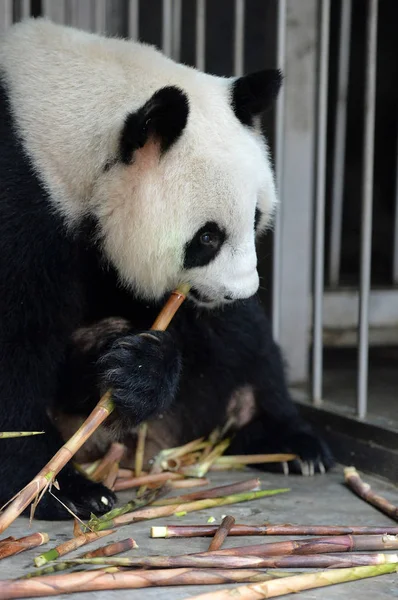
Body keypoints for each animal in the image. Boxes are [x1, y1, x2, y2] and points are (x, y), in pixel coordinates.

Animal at [0, 18, 332, 520]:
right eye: (208, 237)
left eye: (255, 216)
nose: (240, 292)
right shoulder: (23, 205)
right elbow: (16, 345)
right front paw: (60, 487)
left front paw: (139, 367)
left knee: (243, 343)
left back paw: (285, 439)